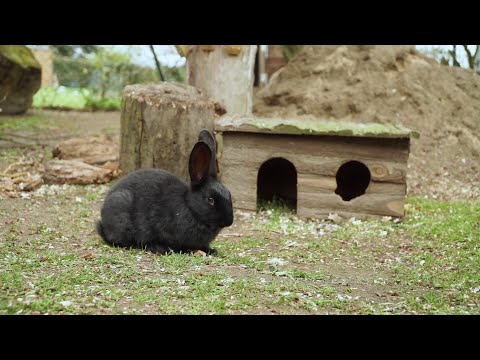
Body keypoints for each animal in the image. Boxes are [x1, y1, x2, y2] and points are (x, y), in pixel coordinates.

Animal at [94, 129, 233, 253]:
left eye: (229, 194)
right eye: (210, 199)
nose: (229, 222)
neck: (190, 207)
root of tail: (103, 224)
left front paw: (211, 250)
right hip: (121, 209)